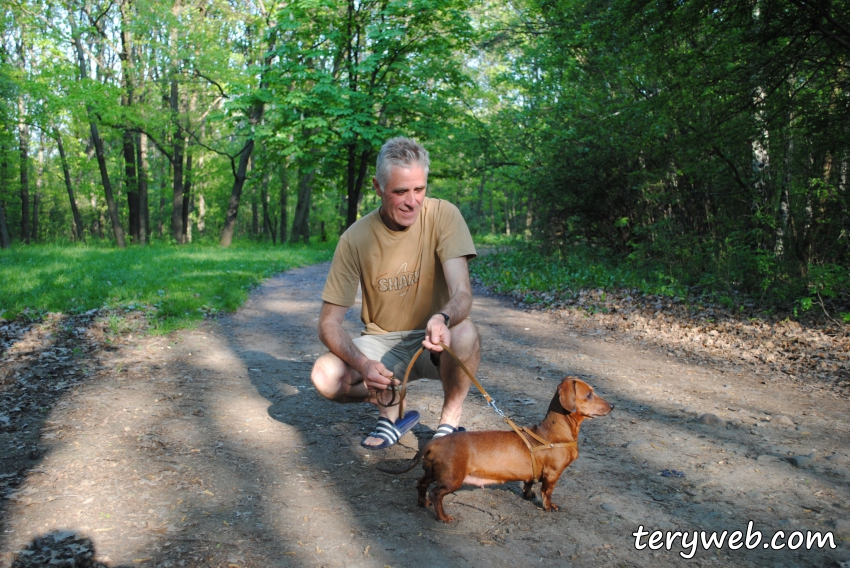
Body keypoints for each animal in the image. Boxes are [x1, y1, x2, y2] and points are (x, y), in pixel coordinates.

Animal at [378, 380, 608, 520]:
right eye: (589, 394)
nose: (612, 406)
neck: (553, 433)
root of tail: (431, 444)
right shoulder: (553, 474)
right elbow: (547, 493)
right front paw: (549, 507)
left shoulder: (532, 473)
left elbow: (528, 484)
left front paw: (528, 495)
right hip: (452, 479)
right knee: (436, 494)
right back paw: (443, 517)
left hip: (434, 472)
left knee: (421, 484)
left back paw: (422, 502)